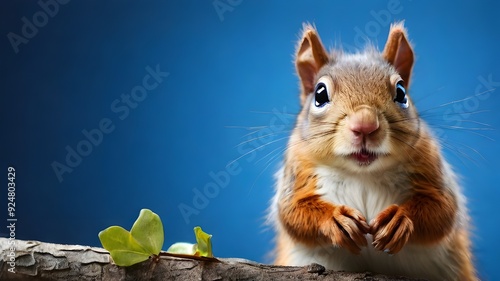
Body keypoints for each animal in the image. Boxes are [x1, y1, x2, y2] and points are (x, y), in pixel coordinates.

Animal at [270, 22, 476, 280]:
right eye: (319, 94)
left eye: (401, 92)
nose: (365, 125)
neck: (363, 174)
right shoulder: (298, 170)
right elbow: (292, 212)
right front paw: (335, 219)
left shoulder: (430, 164)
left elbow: (442, 209)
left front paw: (400, 219)